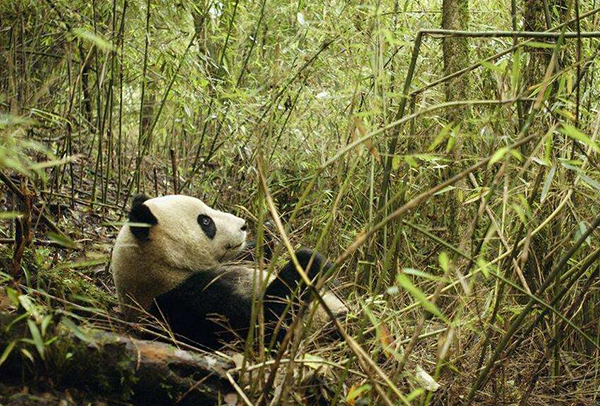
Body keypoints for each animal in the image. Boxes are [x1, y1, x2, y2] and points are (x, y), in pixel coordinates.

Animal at [112, 193, 346, 348]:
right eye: (206, 221)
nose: (243, 225)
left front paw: (269, 233)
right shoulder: (185, 300)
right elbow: (260, 326)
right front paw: (309, 262)